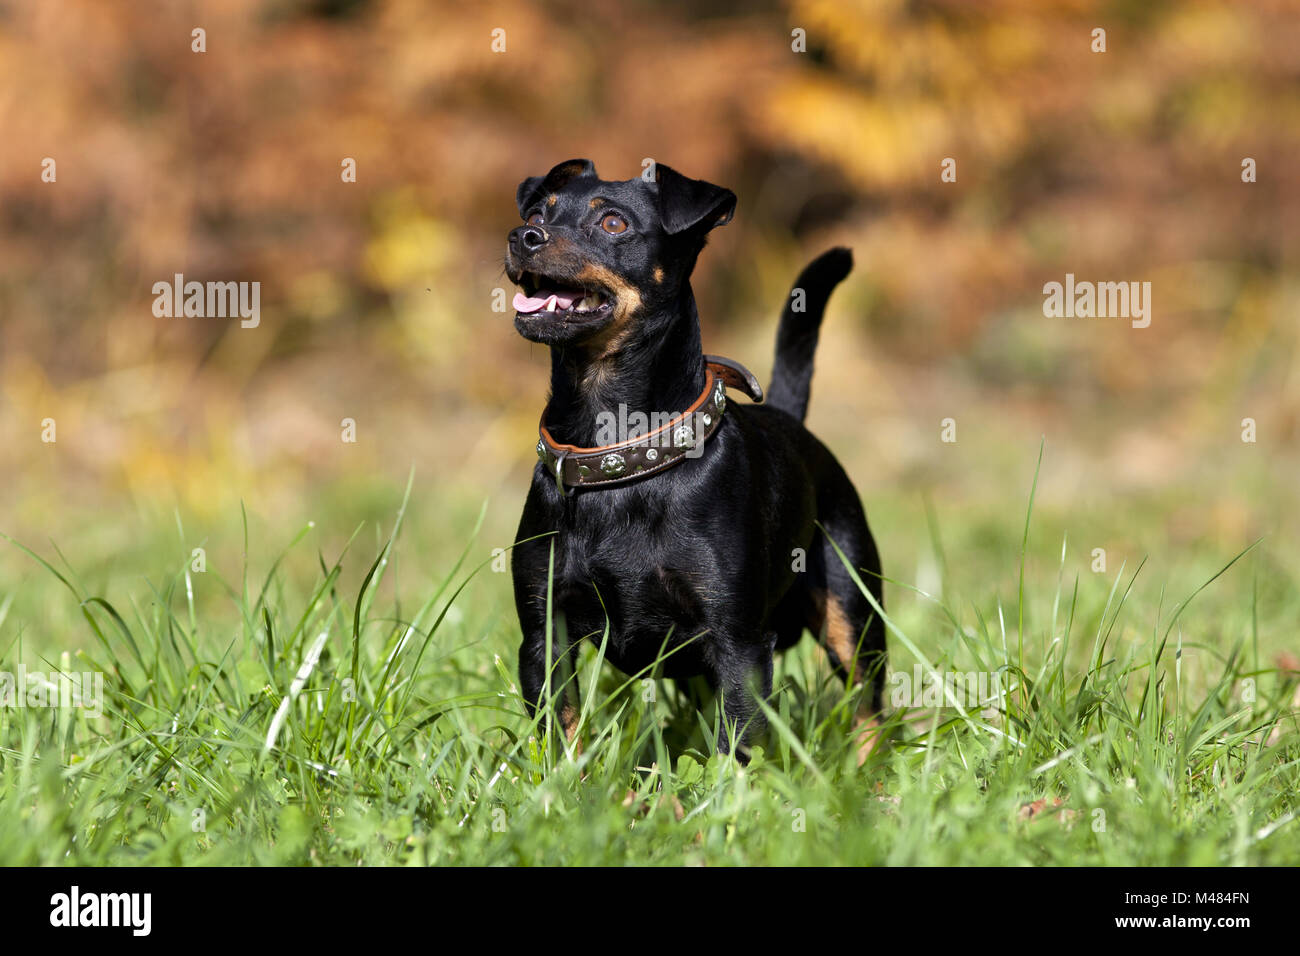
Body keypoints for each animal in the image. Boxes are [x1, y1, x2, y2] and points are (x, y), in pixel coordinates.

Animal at [501, 160, 889, 759]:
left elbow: (737, 746)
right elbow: (562, 736)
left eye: (613, 224)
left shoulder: (739, 645)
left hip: (853, 609)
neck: (617, 452)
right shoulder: (544, 639)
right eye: (539, 212)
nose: (524, 237)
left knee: (868, 705)